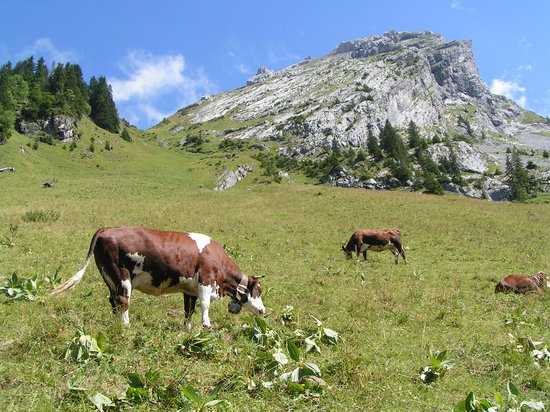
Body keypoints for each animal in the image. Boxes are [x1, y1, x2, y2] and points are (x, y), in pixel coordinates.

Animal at [50, 225, 266, 328]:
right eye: (259, 290)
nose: (263, 311)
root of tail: (108, 228)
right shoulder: (206, 280)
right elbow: (205, 305)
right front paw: (206, 325)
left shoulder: (190, 289)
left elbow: (189, 310)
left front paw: (187, 328)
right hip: (122, 277)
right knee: (122, 301)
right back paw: (126, 326)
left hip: (110, 278)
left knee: (113, 302)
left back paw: (116, 323)